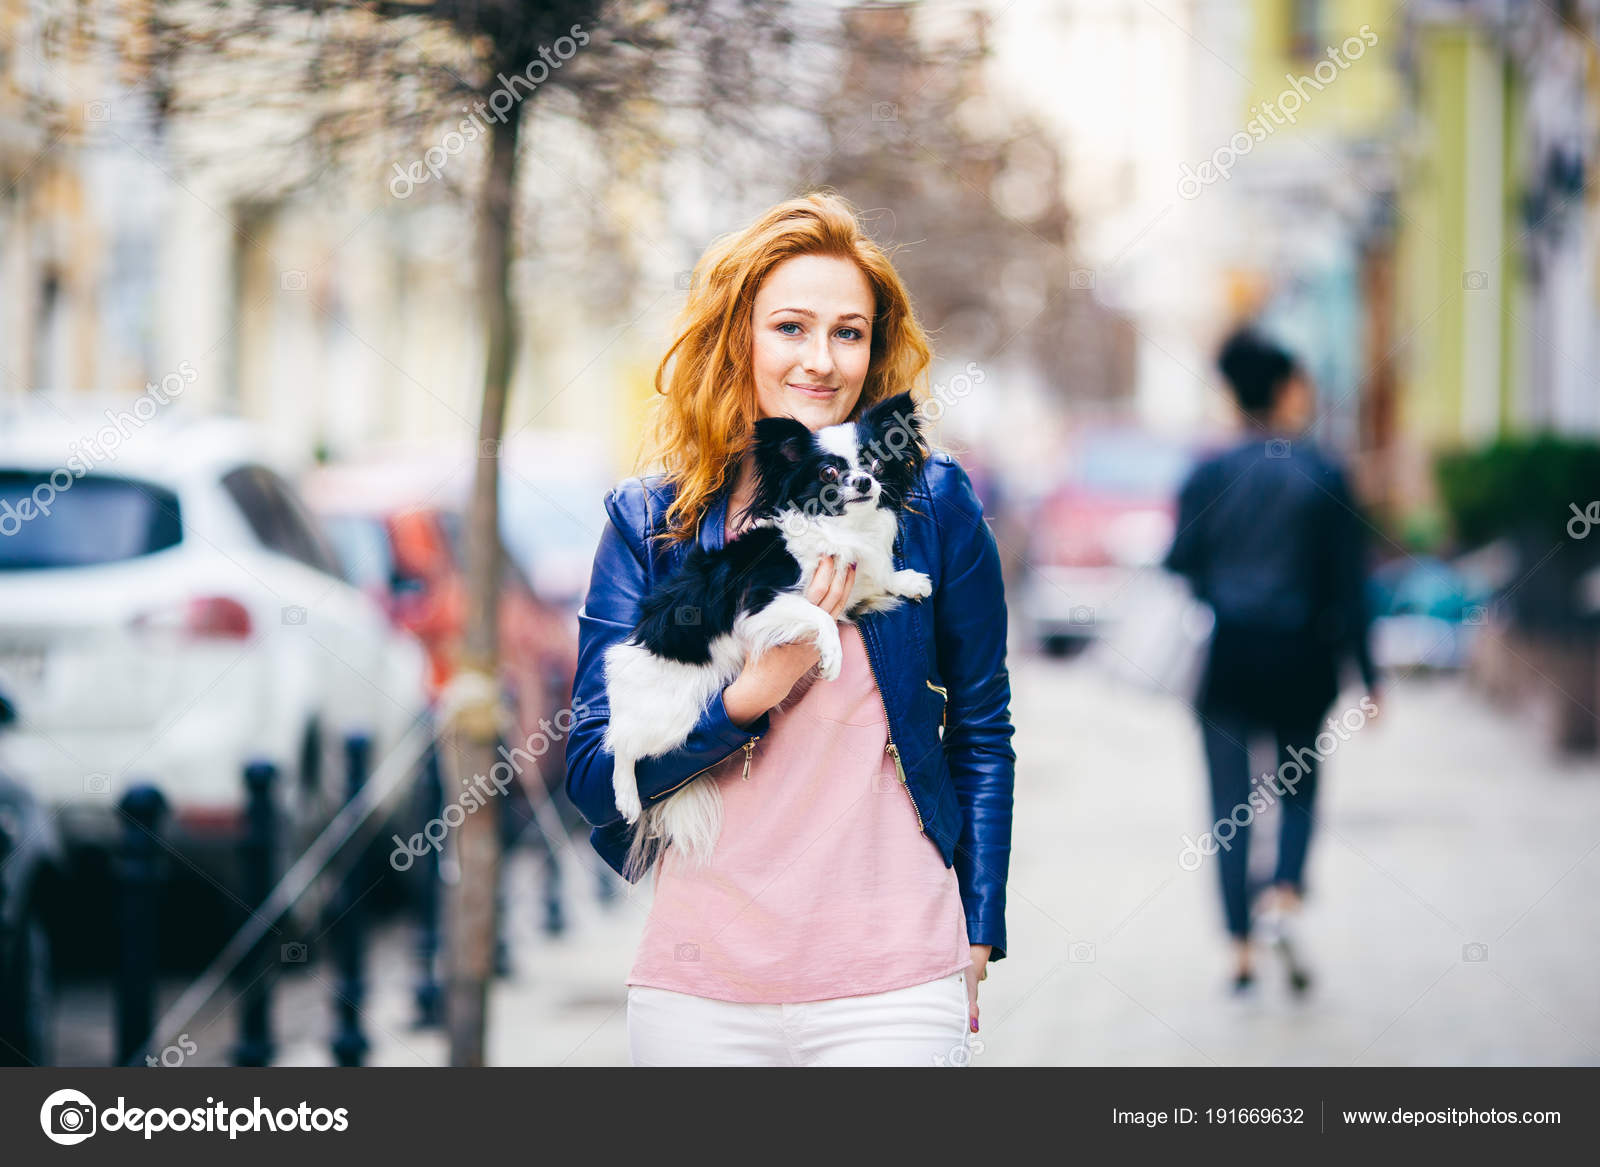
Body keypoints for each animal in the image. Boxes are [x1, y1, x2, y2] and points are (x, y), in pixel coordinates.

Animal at [604, 392, 934, 870]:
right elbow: (818, 615)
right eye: (828, 473)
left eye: (874, 461)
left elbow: (878, 577)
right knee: (621, 743)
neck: (842, 529)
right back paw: (627, 796)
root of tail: (635, 648)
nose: (863, 482)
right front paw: (832, 656)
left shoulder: (852, 581)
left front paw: (907, 581)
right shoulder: (759, 609)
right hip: (671, 715)